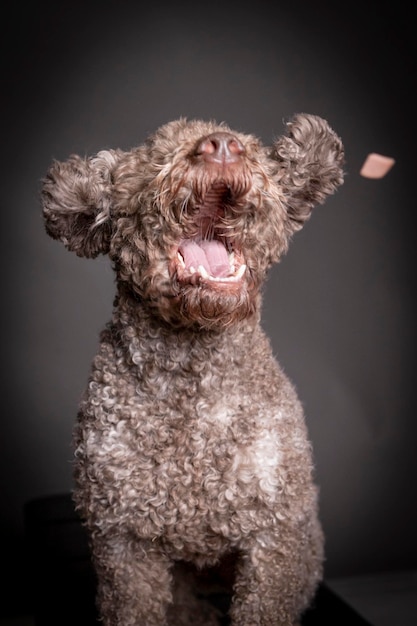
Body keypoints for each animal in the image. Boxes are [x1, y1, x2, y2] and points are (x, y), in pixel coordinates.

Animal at [41, 113, 344, 624]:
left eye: (252, 150)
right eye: (153, 161)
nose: (221, 146)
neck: (193, 383)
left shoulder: (276, 538)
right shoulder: (122, 542)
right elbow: (133, 606)